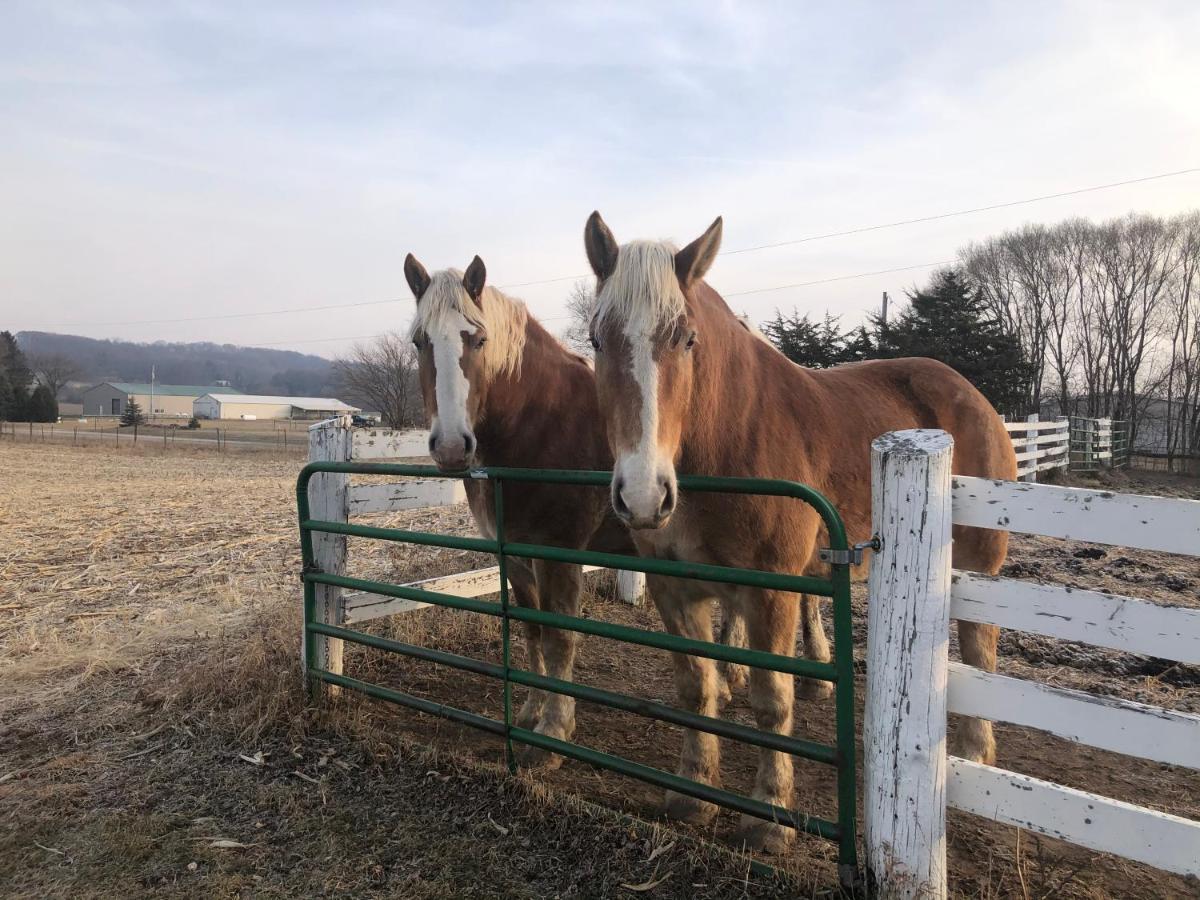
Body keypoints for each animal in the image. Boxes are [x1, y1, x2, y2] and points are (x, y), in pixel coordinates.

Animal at [403, 254, 643, 768]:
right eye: (419, 342)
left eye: (478, 339)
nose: (451, 447)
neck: (540, 422)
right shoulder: (513, 552)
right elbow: (533, 629)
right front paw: (533, 712)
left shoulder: (559, 554)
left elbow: (559, 636)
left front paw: (554, 734)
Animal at [580, 211, 1012, 854]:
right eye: (597, 340)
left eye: (687, 339)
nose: (642, 496)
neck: (723, 440)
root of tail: (967, 390)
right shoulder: (675, 589)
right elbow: (696, 689)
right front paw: (692, 792)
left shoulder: (771, 591)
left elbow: (771, 701)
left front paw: (768, 816)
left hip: (978, 562)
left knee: (980, 645)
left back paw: (975, 749)